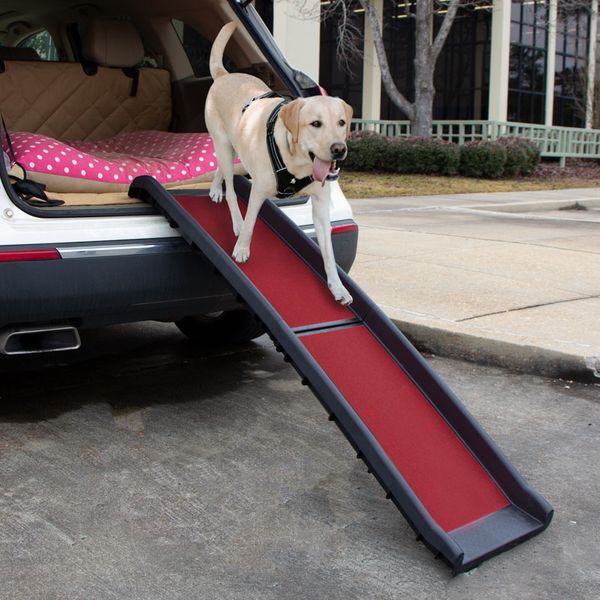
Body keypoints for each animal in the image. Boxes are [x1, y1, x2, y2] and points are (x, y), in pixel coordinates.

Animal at [205, 22, 354, 306]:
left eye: (341, 122)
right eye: (315, 123)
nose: (338, 150)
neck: (297, 161)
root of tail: (223, 75)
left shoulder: (321, 206)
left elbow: (329, 254)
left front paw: (338, 287)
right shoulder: (257, 192)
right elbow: (251, 223)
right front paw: (242, 249)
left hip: (236, 151)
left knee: (220, 169)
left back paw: (215, 188)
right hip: (223, 144)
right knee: (230, 189)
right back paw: (232, 214)